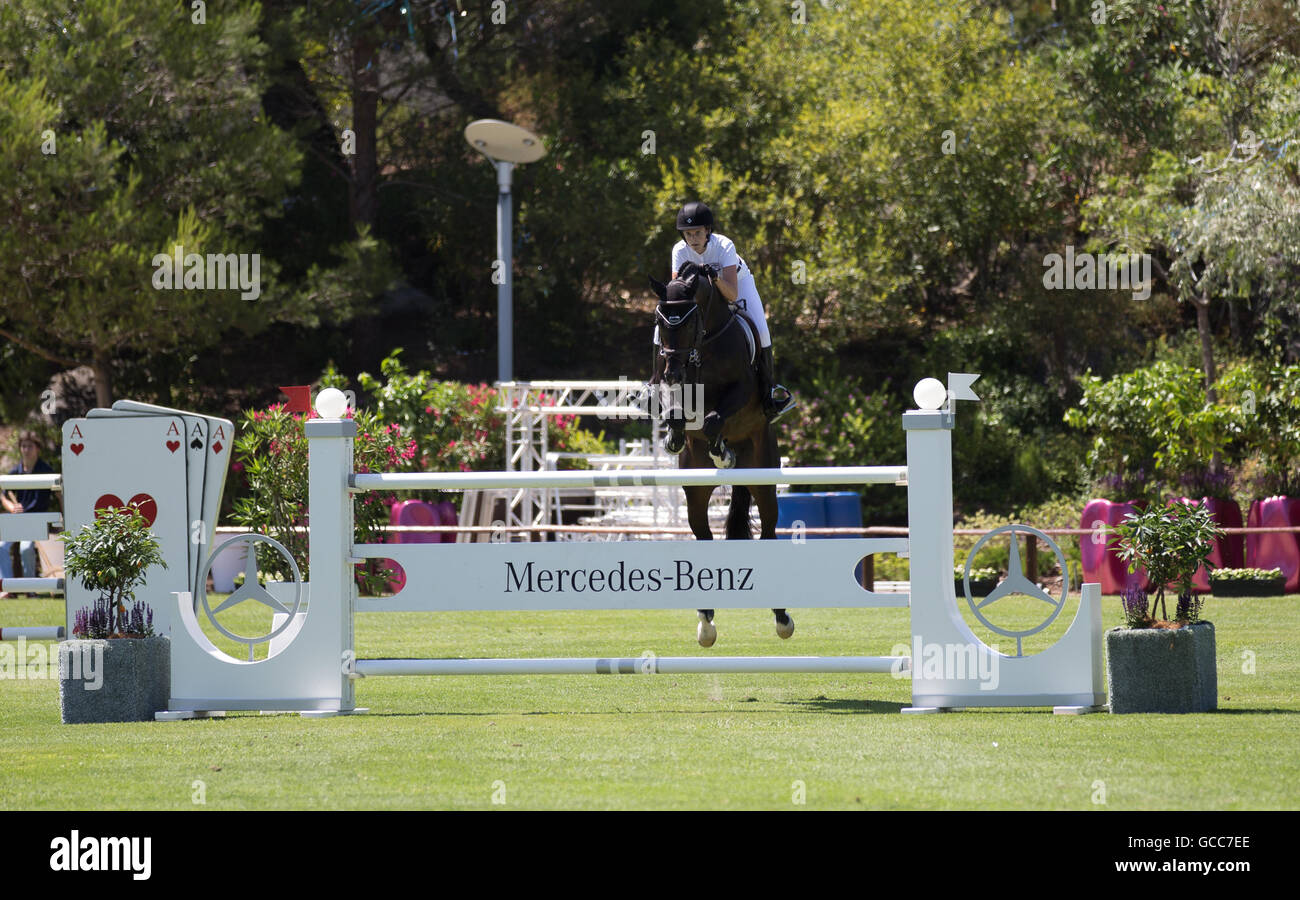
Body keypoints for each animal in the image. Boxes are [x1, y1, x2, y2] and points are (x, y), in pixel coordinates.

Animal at [647, 269, 790, 647]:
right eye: (661, 321)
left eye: (689, 319)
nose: (673, 371)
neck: (704, 345)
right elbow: (679, 413)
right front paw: (675, 435)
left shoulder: (740, 391)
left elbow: (714, 418)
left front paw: (721, 452)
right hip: (695, 493)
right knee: (703, 536)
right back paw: (706, 621)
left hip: (763, 477)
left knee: (769, 531)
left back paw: (782, 617)